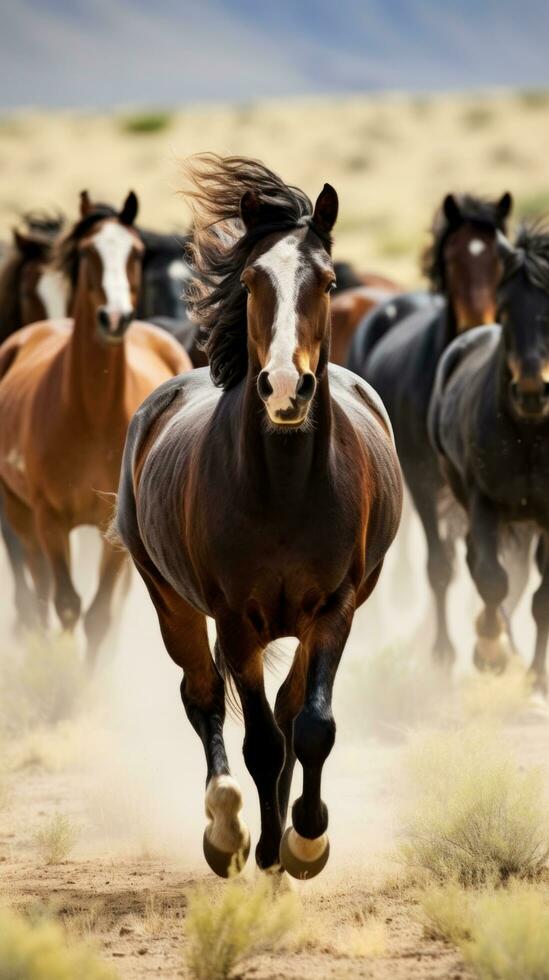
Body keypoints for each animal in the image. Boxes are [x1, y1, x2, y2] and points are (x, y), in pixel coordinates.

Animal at [0, 188, 191, 664]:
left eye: (136, 252)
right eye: (87, 252)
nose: (115, 317)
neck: (91, 412)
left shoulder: (116, 528)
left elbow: (101, 614)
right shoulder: (49, 521)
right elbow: (68, 603)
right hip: (20, 512)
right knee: (40, 589)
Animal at [112, 155, 402, 880]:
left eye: (328, 281)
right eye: (250, 279)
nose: (283, 389)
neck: (283, 489)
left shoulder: (334, 608)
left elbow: (310, 726)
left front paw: (306, 841)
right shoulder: (236, 620)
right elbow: (261, 741)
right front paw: (269, 850)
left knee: (286, 708)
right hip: (172, 603)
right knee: (205, 699)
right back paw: (225, 828)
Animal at [348, 191, 512, 668]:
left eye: (500, 260)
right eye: (453, 259)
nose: (478, 323)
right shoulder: (422, 480)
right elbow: (440, 567)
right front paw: (442, 651)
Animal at [430, 223, 549, 696]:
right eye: (505, 308)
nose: (532, 390)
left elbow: (541, 599)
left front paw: (537, 678)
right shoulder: (485, 502)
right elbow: (492, 579)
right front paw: (490, 653)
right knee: (474, 562)